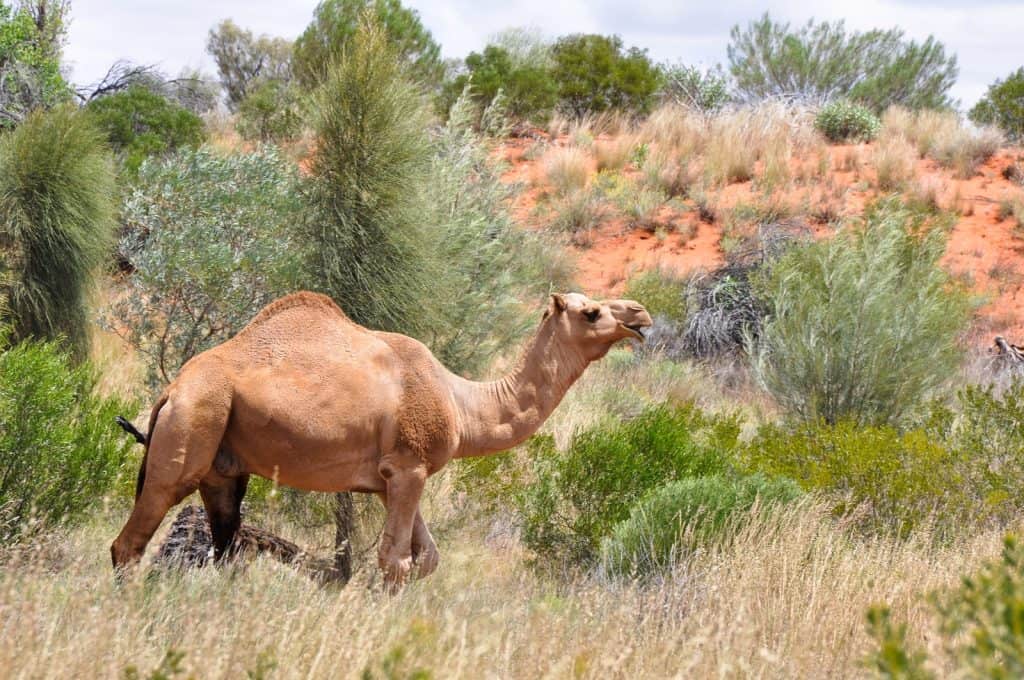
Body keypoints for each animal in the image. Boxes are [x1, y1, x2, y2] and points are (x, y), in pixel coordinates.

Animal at [112, 288, 651, 585]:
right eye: (591, 312)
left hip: (223, 468)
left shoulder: (389, 479)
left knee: (223, 544)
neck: (460, 404)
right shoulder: (409, 467)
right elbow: (397, 560)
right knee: (130, 542)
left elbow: (428, 557)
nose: (640, 314)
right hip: (192, 425)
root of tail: (171, 390)